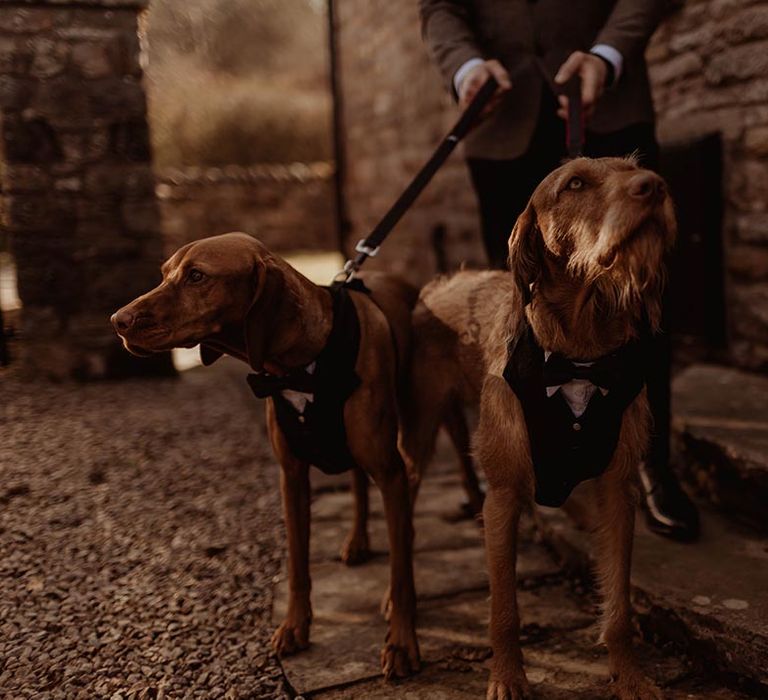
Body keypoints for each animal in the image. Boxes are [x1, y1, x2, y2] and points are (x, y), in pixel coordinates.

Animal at [111, 234, 420, 680]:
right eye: (165, 273)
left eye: (197, 276)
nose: (118, 320)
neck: (303, 364)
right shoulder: (291, 478)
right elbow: (297, 566)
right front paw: (295, 627)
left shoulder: (390, 473)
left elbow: (399, 574)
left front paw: (401, 641)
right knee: (359, 482)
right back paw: (357, 540)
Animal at [402, 159, 680, 700]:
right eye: (574, 183)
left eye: (634, 168)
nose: (655, 186)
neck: (579, 354)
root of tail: (436, 285)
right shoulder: (504, 495)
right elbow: (503, 610)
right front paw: (508, 678)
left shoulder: (618, 492)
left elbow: (619, 604)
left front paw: (629, 676)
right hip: (416, 442)